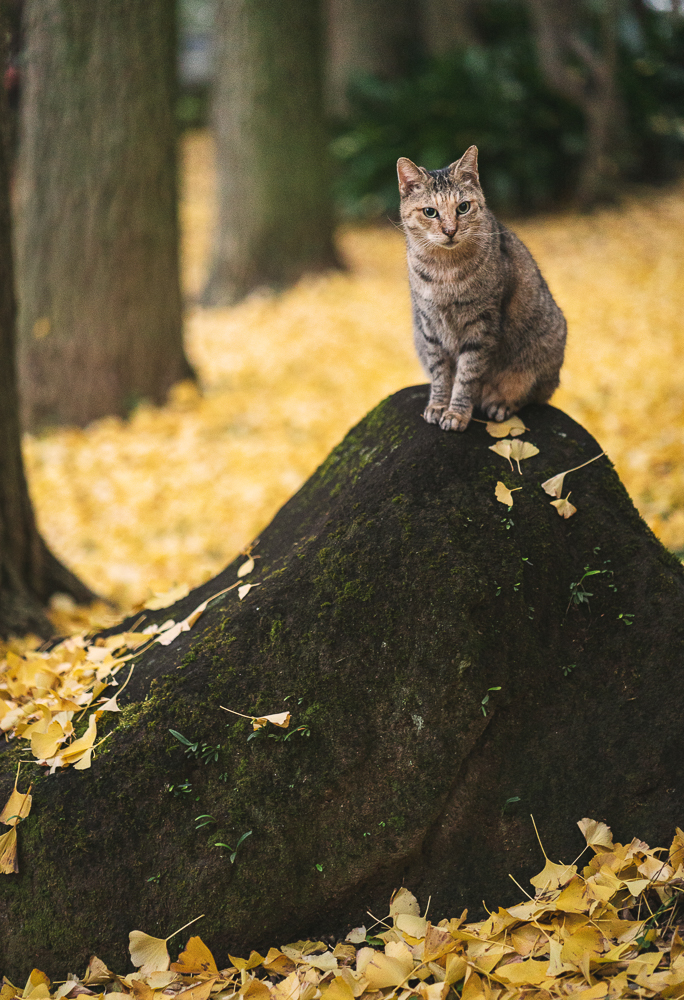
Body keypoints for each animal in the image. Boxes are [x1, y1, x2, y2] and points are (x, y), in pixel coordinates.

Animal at [396, 144, 568, 430]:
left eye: (463, 207)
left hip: (540, 353)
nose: (450, 230)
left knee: (532, 395)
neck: (444, 270)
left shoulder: (481, 325)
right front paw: (438, 405)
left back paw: (500, 404)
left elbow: (467, 376)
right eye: (430, 212)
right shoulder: (429, 325)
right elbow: (440, 372)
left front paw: (456, 413)